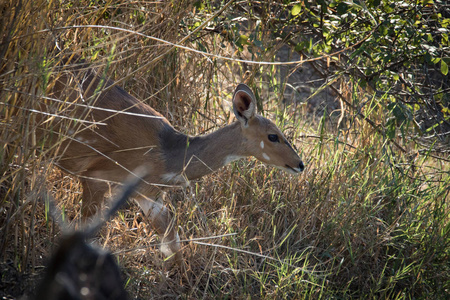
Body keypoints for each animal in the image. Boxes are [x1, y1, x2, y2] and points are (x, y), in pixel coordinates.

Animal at [47, 56, 304, 262]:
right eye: (273, 136)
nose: (300, 164)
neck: (168, 154)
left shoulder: (148, 195)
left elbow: (172, 241)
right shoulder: (95, 178)